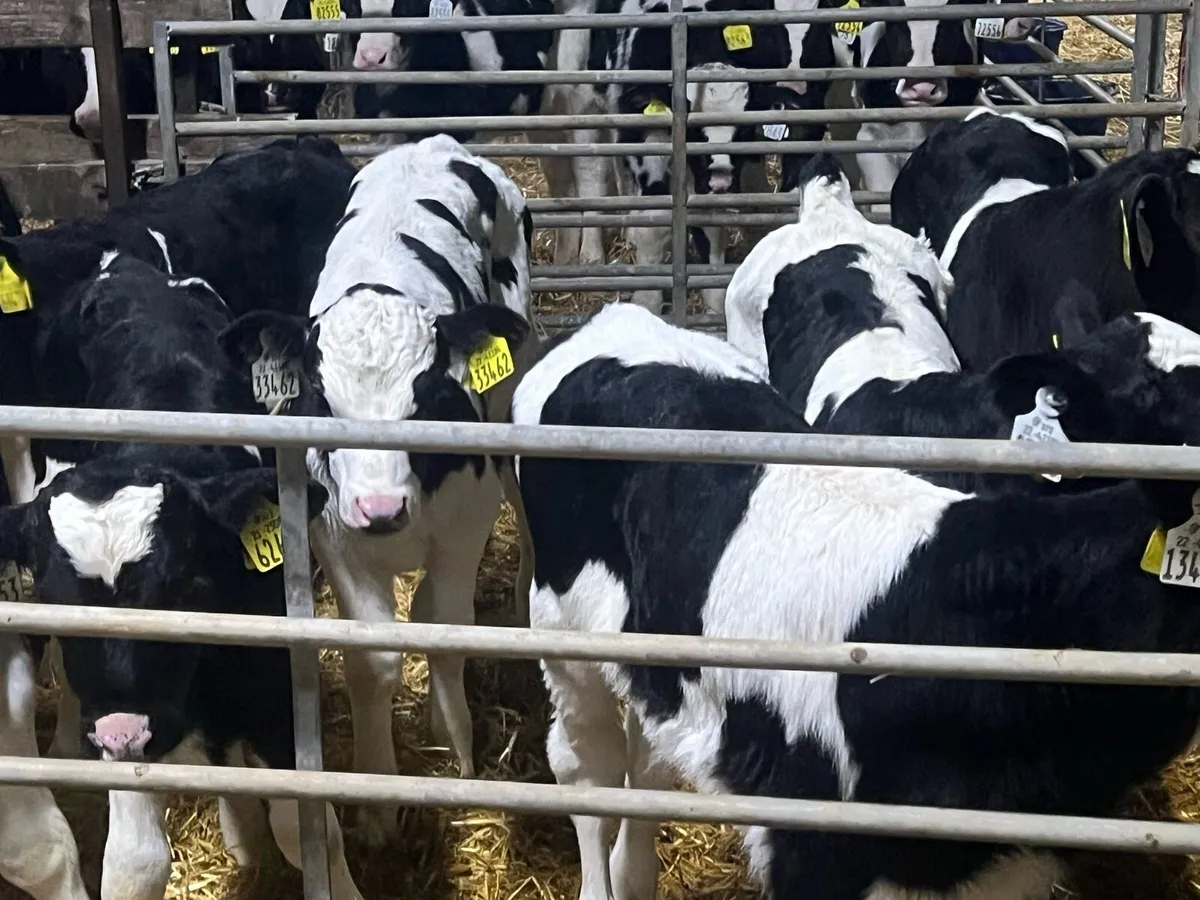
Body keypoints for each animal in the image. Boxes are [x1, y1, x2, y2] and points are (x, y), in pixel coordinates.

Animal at [0, 250, 364, 900]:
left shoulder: (275, 691)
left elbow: (308, 827)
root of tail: (126, 267)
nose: (121, 733)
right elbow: (135, 862)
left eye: (183, 587)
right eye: (52, 600)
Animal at [218, 134, 538, 847]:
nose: (381, 508)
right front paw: (378, 797)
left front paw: (458, 753)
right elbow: (375, 659)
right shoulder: (336, 538)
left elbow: (446, 627)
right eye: (320, 397)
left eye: (426, 396)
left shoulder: (465, 523)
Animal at [510, 299, 1200, 900]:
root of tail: (613, 316)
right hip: (562, 636)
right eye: (1148, 407)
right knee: (586, 771)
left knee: (646, 767)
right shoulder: (813, 848)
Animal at [546, 0, 836, 316]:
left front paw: (714, 304)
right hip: (584, 102)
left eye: (743, 129)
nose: (720, 178)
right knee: (592, 171)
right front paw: (648, 301)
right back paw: (592, 253)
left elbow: (711, 230)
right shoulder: (649, 145)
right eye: (695, 129)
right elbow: (655, 226)